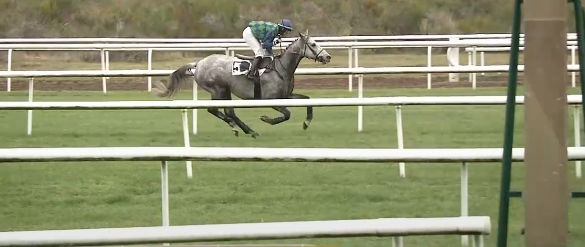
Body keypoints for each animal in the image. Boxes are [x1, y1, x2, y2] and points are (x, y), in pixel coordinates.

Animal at [153, 29, 330, 138]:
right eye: (313, 44)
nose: (327, 57)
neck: (281, 68)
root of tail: (199, 63)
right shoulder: (271, 100)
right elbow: (287, 114)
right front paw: (266, 118)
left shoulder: (286, 96)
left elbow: (307, 100)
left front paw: (306, 122)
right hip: (217, 89)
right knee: (215, 110)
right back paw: (242, 129)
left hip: (225, 90)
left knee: (229, 112)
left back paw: (245, 130)